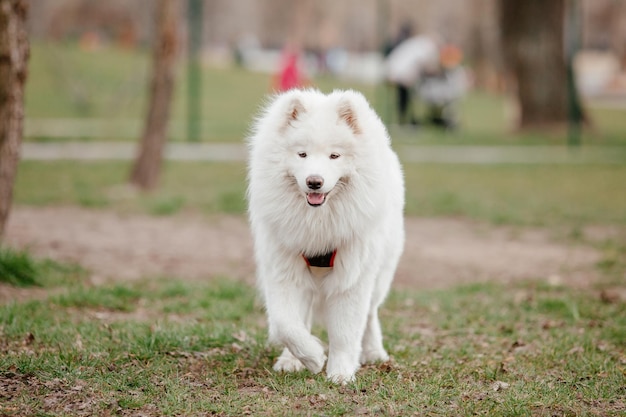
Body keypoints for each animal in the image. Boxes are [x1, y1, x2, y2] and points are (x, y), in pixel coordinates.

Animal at [246, 88, 402, 384]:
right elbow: (285, 324)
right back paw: (290, 360)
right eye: (302, 154)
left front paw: (340, 373)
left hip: (380, 273)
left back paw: (374, 352)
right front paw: (311, 356)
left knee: (371, 314)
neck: (318, 223)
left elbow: (345, 332)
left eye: (334, 156)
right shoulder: (284, 269)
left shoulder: (352, 275)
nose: (314, 182)